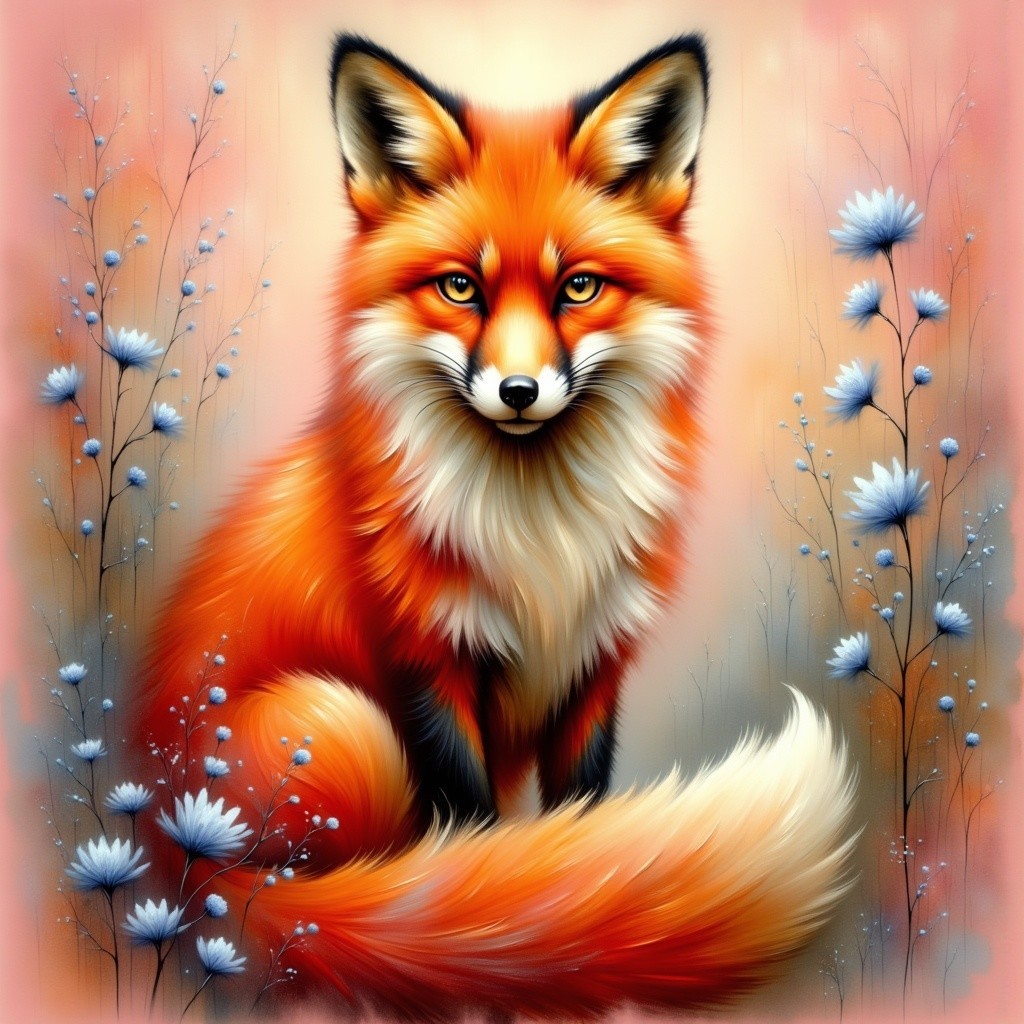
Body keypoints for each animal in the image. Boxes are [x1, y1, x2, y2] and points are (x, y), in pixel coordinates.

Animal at [138, 34, 857, 1020]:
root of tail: (166, 849)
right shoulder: (427, 662)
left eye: (578, 287)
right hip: (346, 728)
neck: (538, 539)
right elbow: (476, 850)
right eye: (460, 288)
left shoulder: (595, 664)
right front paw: (497, 932)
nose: (518, 391)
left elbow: (576, 819)